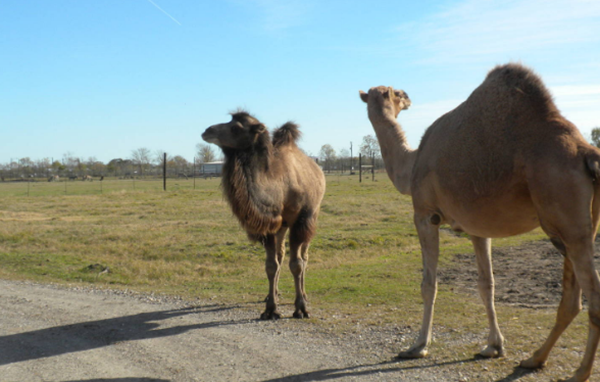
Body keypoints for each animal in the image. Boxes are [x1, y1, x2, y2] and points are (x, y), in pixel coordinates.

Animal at [200, 109, 324, 320]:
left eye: (235, 127)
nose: (207, 130)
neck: (279, 186)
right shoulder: (268, 225)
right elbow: (271, 265)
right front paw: (270, 309)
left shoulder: (299, 221)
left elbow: (297, 264)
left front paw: (300, 308)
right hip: (282, 226)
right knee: (281, 255)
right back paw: (272, 294)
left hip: (311, 217)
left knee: (304, 256)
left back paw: (304, 294)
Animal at [360, 63, 600, 382]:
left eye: (394, 92)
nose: (408, 96)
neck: (411, 166)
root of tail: (588, 152)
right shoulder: (476, 228)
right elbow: (487, 284)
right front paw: (494, 346)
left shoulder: (425, 215)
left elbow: (428, 283)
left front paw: (418, 346)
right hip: (574, 227)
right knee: (572, 298)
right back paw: (534, 359)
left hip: (565, 220)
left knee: (592, 295)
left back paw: (579, 372)